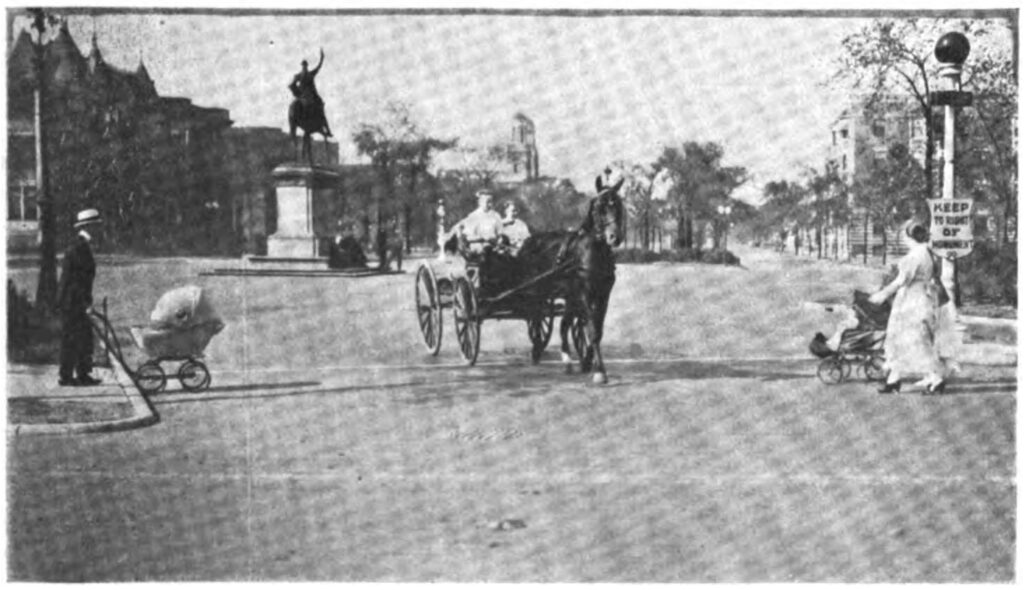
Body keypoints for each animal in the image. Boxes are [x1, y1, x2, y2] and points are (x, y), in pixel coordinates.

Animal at [512, 186, 622, 385]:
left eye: (618, 205)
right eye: (599, 208)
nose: (614, 237)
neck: (592, 252)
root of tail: (529, 241)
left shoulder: (602, 294)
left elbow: (596, 329)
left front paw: (589, 362)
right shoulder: (584, 293)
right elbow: (592, 330)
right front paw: (599, 371)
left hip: (569, 296)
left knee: (563, 324)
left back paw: (567, 360)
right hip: (538, 292)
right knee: (536, 317)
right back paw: (537, 350)